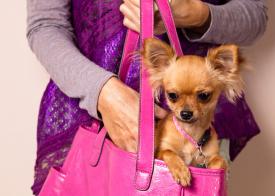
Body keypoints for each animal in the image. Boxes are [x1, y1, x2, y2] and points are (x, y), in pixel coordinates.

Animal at [141, 37, 245, 186]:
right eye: (172, 95)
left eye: (204, 95)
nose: (185, 114)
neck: (190, 131)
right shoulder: (159, 152)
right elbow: (168, 152)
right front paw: (181, 170)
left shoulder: (209, 156)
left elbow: (219, 160)